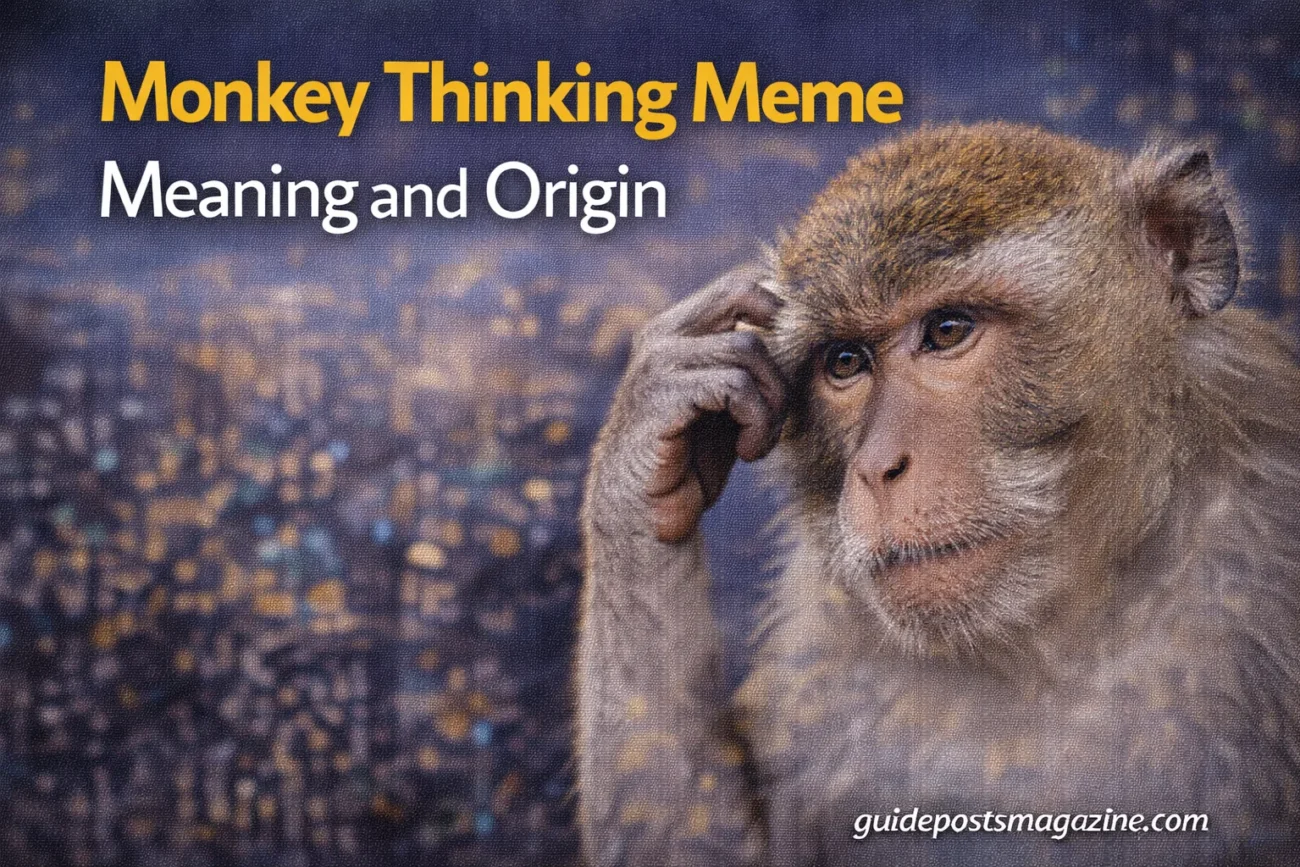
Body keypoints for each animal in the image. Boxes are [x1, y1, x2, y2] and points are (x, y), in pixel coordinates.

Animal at [574, 123, 1300, 866]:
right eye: (844, 363)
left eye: (948, 330)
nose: (878, 468)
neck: (1053, 645)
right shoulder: (823, 630)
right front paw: (647, 447)